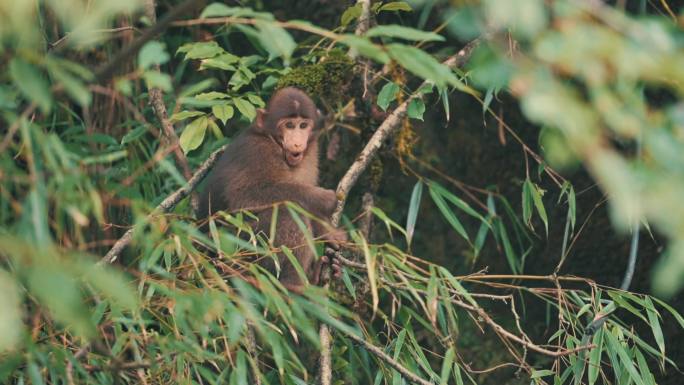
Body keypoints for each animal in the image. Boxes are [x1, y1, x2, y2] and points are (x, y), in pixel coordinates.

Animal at [199, 87, 348, 292]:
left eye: (303, 126)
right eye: (289, 126)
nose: (297, 142)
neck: (273, 142)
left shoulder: (310, 154)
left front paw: (327, 231)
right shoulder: (258, 151)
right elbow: (243, 197)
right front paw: (323, 200)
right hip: (241, 252)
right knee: (288, 213)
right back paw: (293, 284)